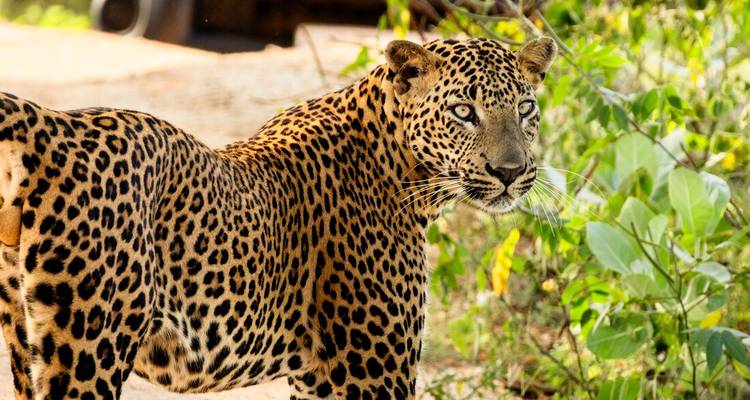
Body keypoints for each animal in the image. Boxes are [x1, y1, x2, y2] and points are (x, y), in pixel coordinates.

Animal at [0, 37, 556, 400]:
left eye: (526, 109)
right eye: (463, 111)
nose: (511, 172)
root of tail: (53, 121)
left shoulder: (321, 376)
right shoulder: (370, 371)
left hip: (26, 342)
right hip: (90, 347)